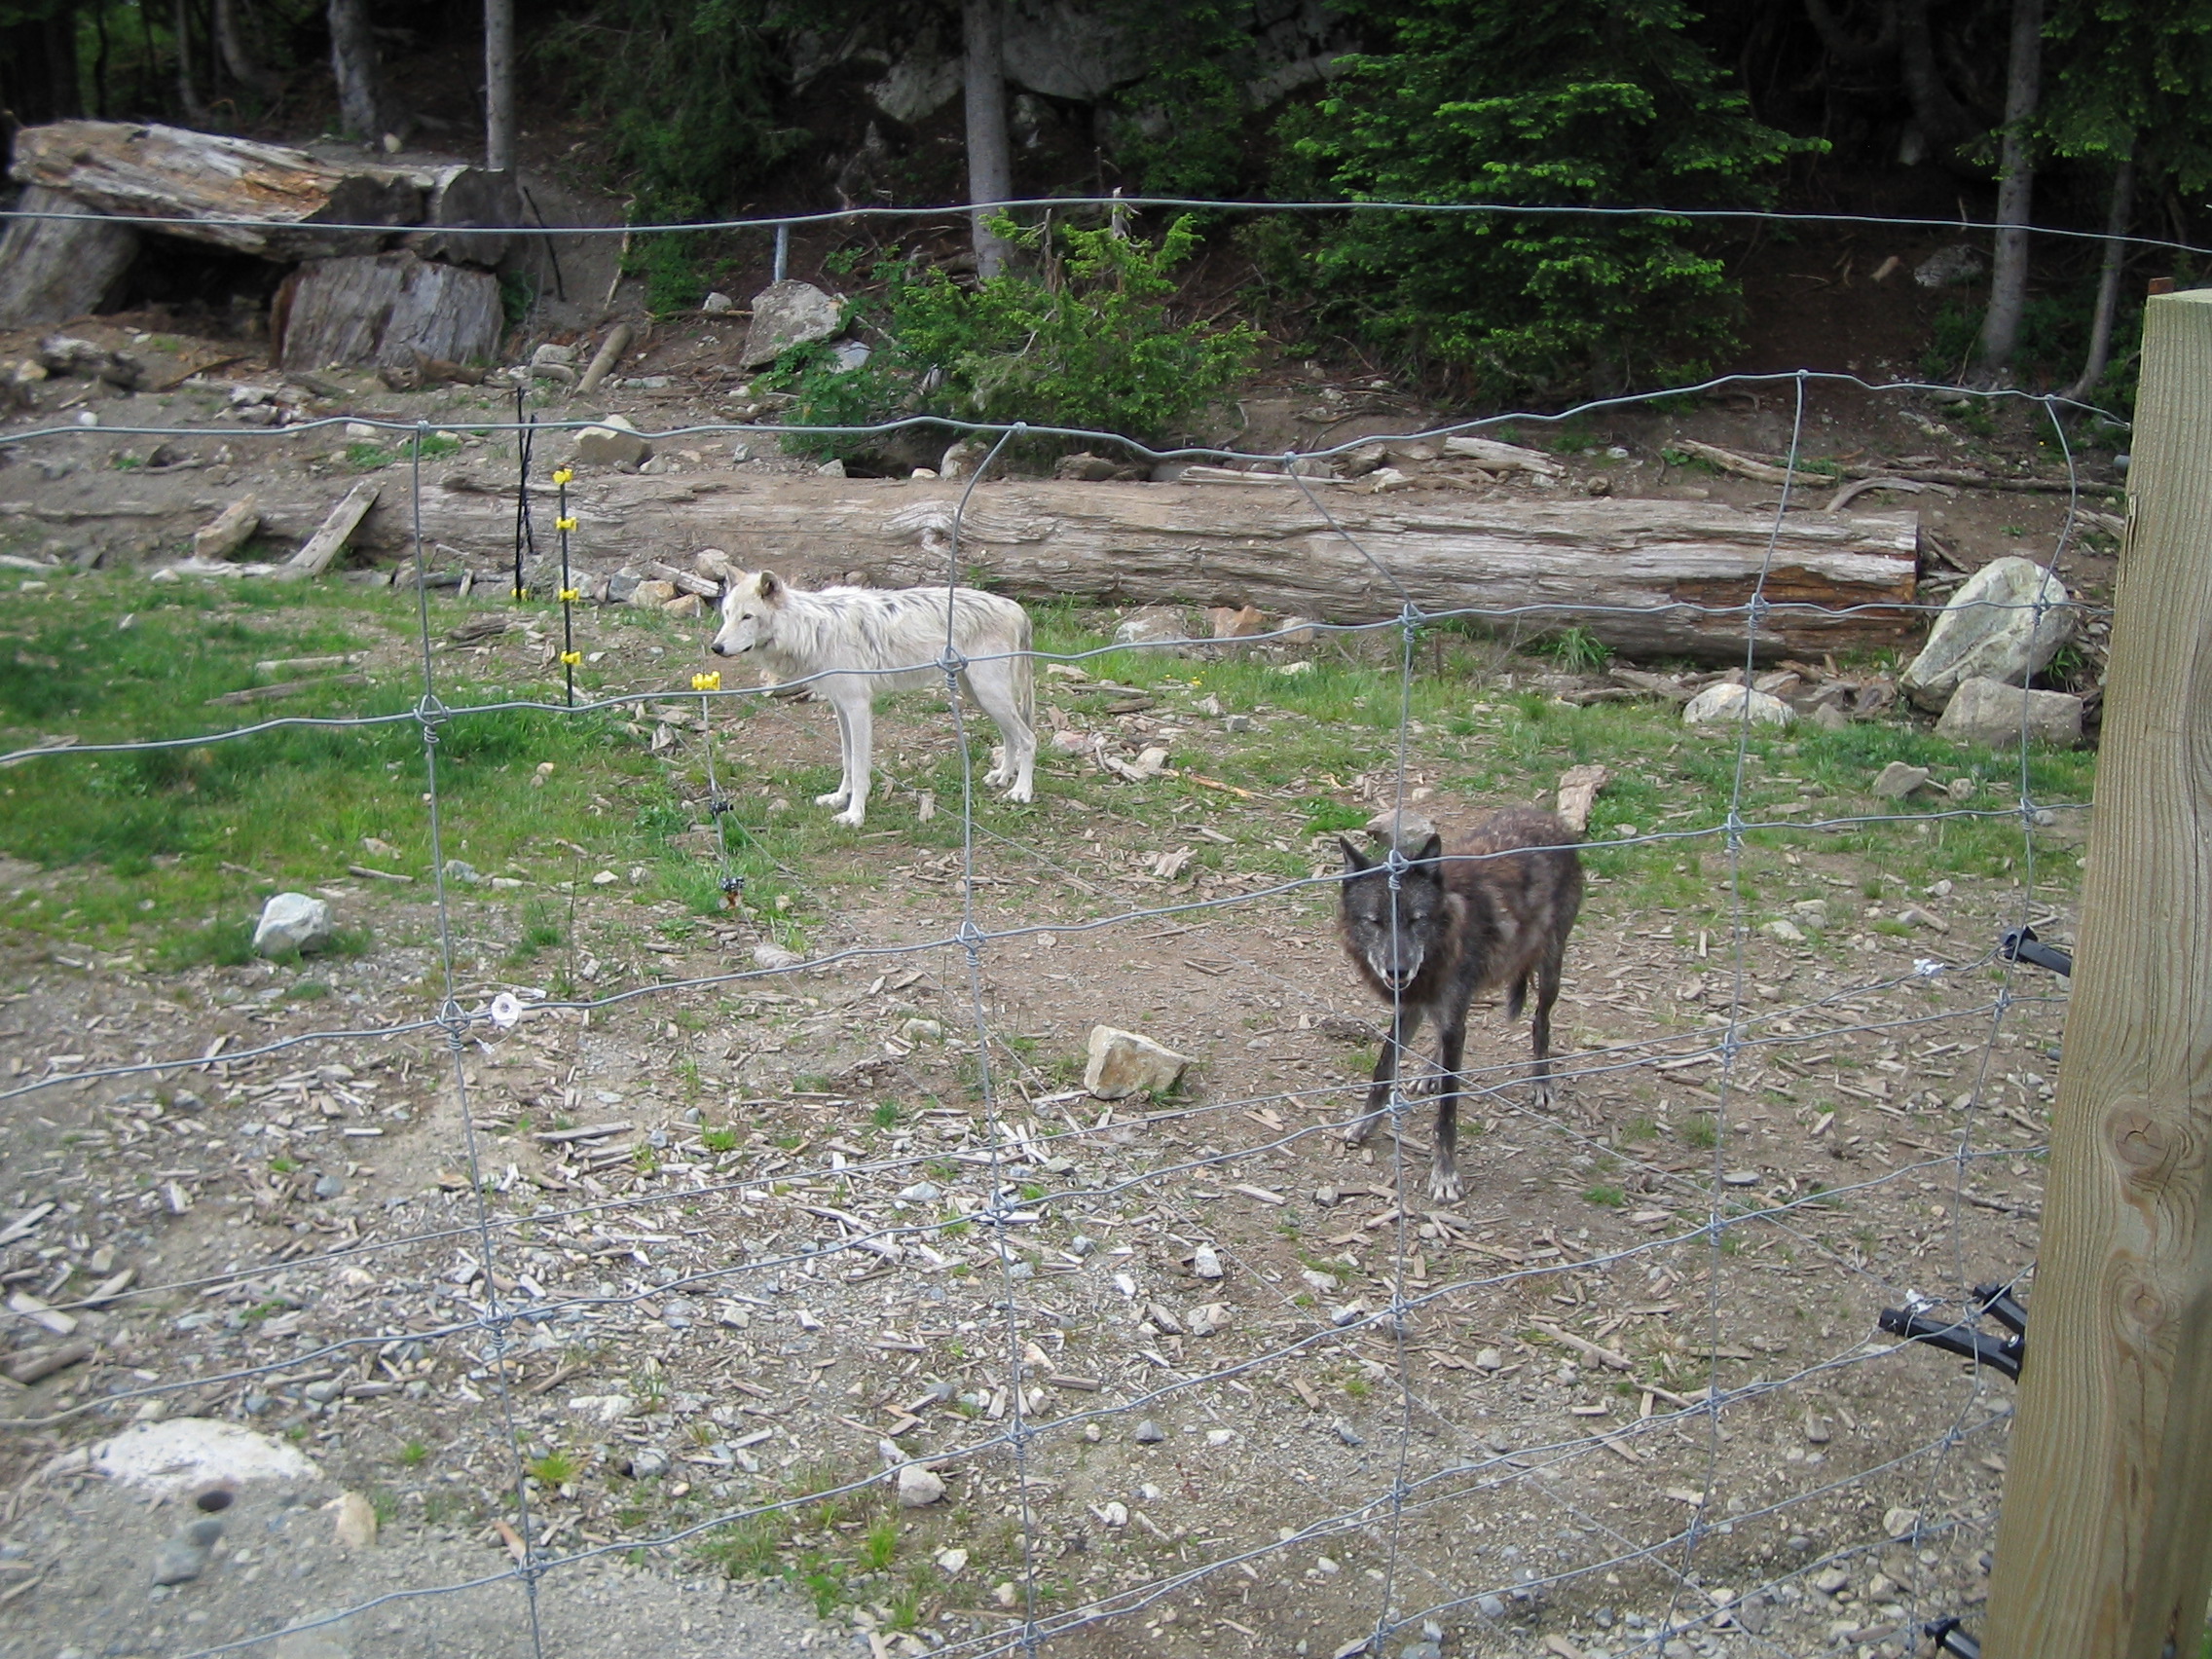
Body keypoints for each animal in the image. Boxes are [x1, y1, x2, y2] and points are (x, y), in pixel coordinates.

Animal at [709, 570, 1036, 828]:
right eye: (727, 614)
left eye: (747, 617)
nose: (716, 648)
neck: (811, 629)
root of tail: (1017, 608)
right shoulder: (840, 706)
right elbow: (847, 760)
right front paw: (838, 798)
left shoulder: (857, 706)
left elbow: (860, 767)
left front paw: (854, 815)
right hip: (979, 695)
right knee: (1010, 736)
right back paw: (1002, 776)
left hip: (989, 694)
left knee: (1028, 738)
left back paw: (1021, 791)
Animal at [1337, 807, 1583, 1203]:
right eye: (1375, 922)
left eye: (1416, 920)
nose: (1397, 970)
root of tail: (1548, 817)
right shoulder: (1410, 1007)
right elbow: (1382, 1069)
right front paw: (1363, 1124)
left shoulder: (1450, 1018)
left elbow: (1447, 1109)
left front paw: (1445, 1174)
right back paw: (1429, 1073)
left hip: (1550, 967)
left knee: (1541, 1021)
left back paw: (1542, 1081)